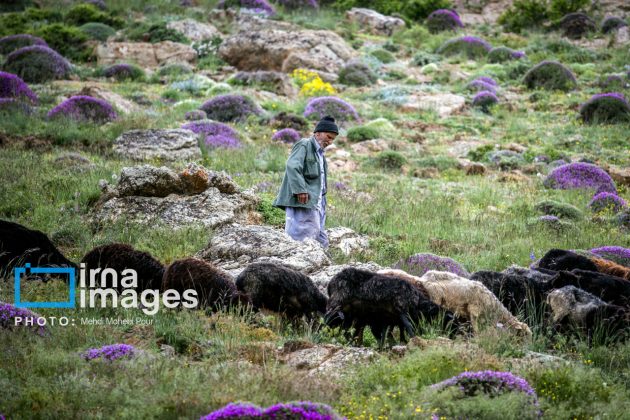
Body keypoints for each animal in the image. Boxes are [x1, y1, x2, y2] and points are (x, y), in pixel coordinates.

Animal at [324, 268, 462, 346]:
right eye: (451, 321)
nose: (455, 337)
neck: (417, 303)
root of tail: (331, 281)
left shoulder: (387, 318)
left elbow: (386, 333)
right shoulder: (401, 310)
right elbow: (408, 327)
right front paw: (413, 340)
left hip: (348, 310)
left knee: (345, 327)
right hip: (337, 301)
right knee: (327, 317)